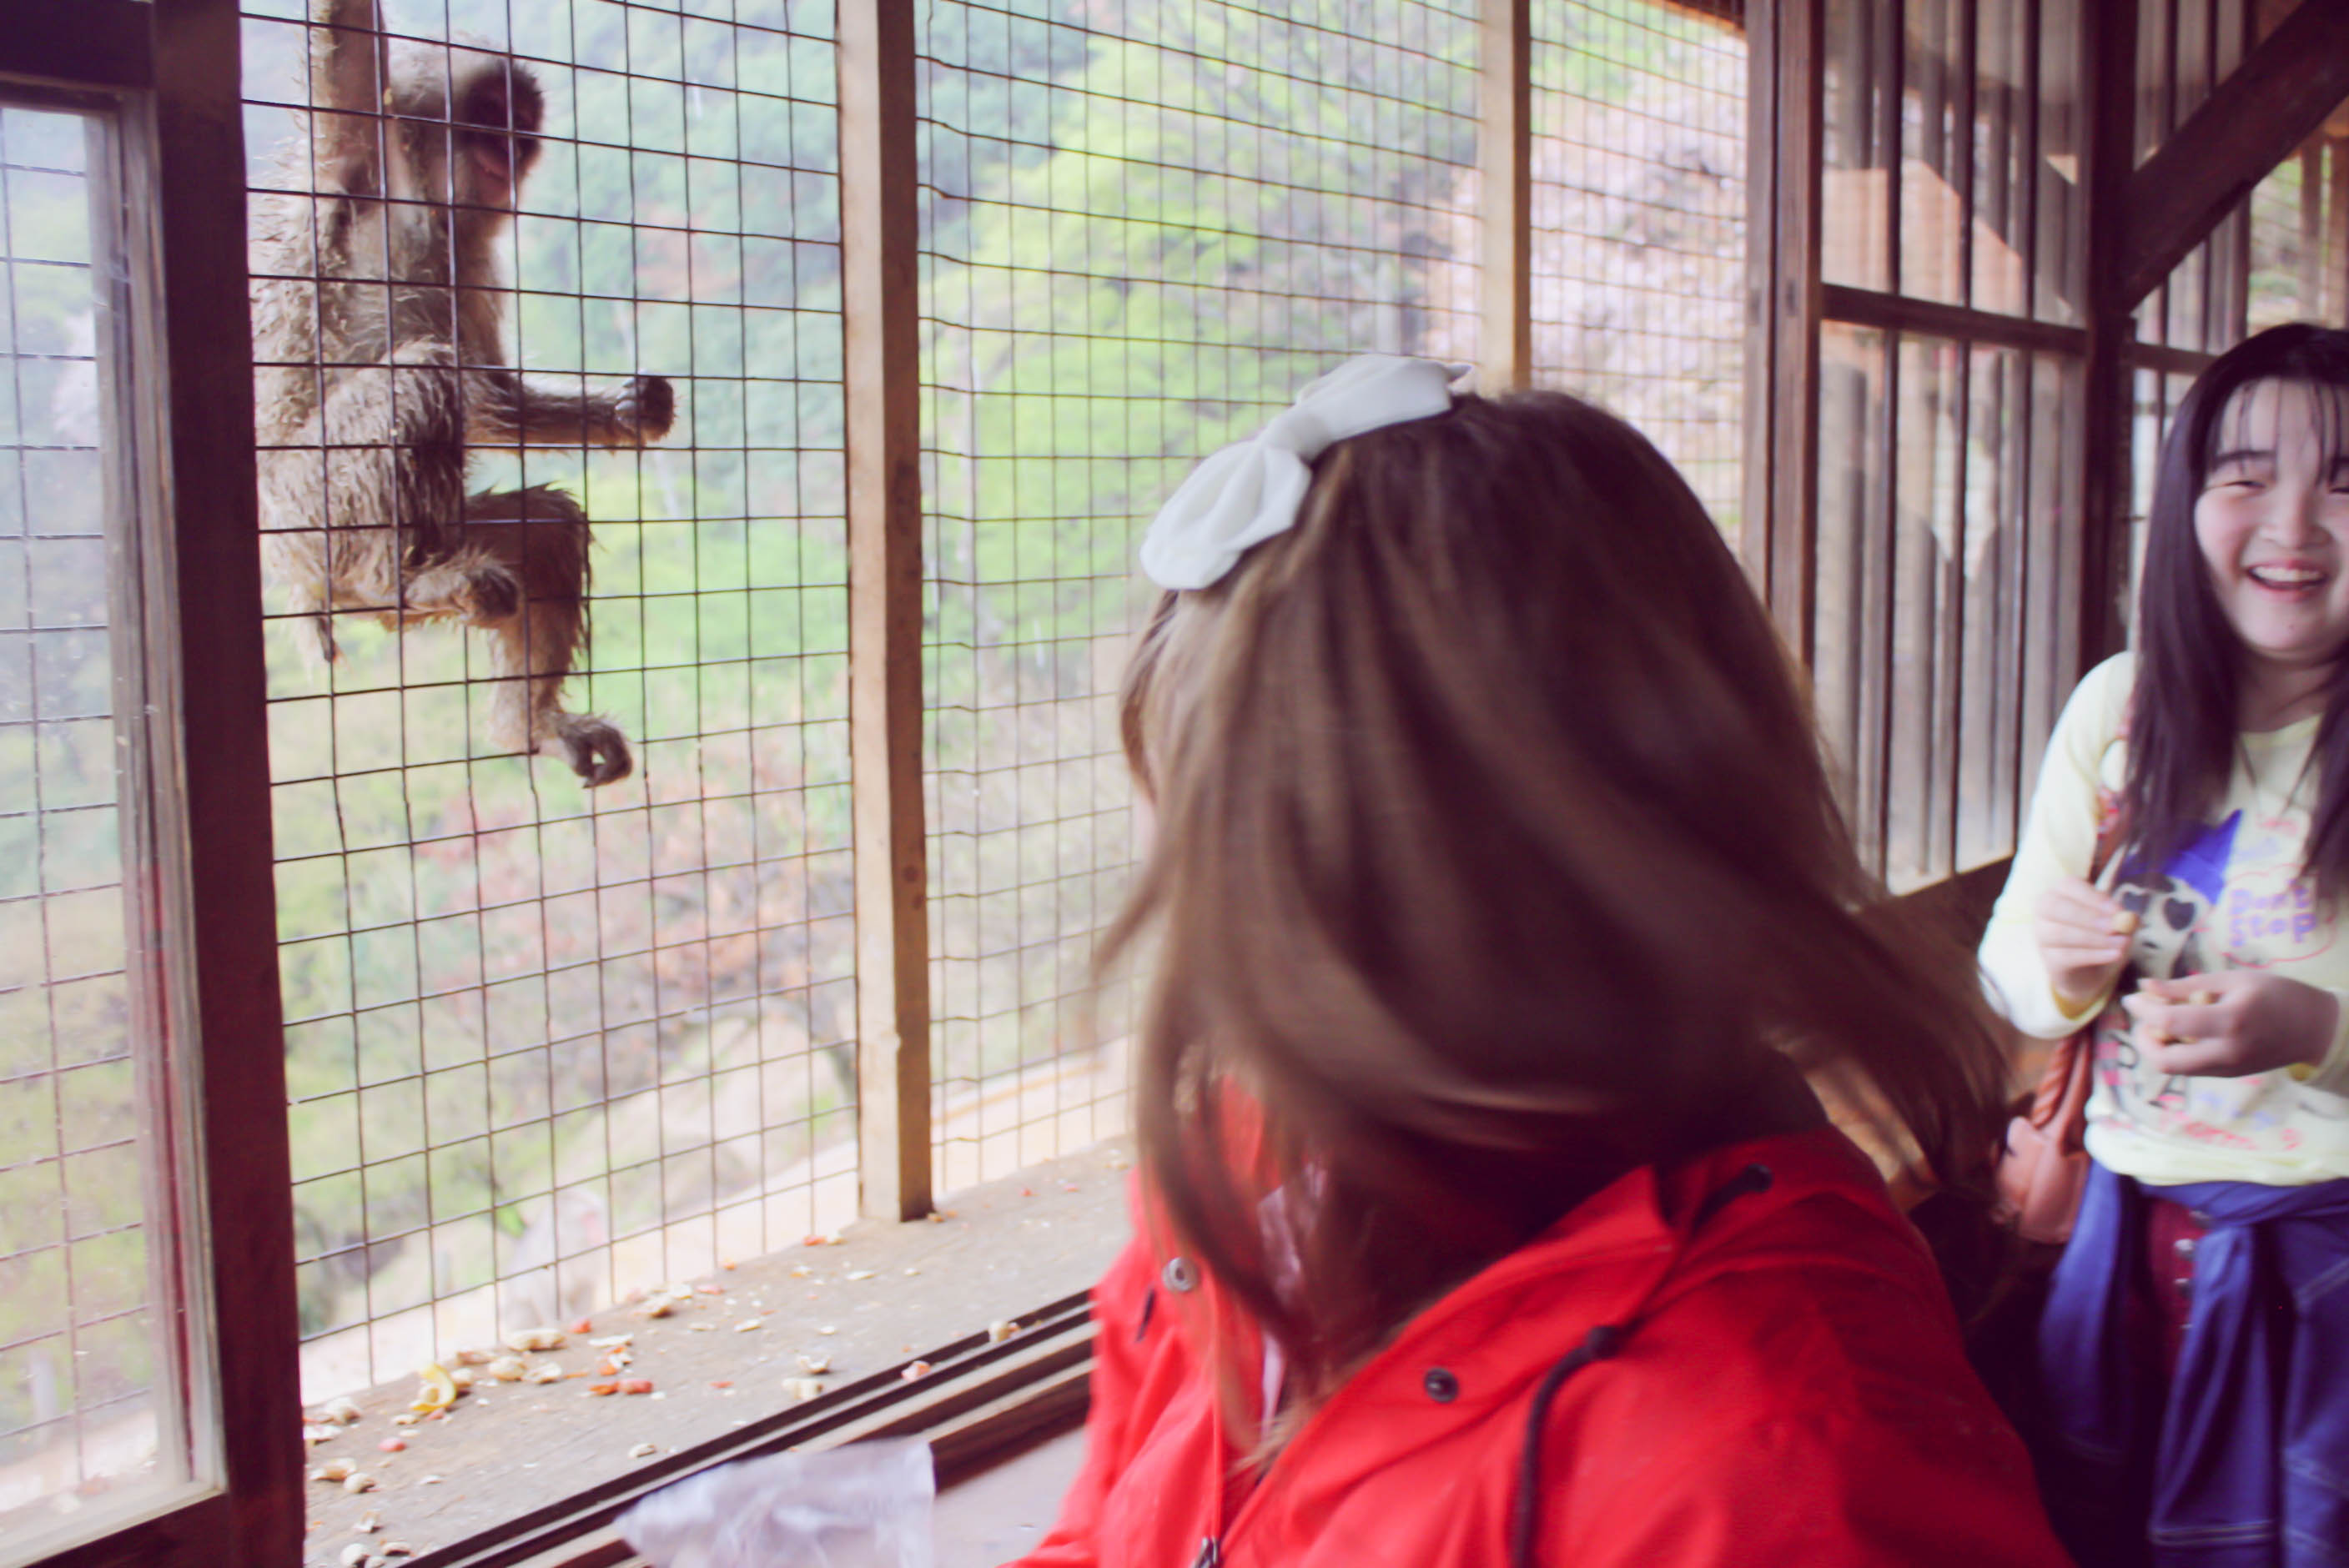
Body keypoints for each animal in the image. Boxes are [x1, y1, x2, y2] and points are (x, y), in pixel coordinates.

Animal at [254, 0, 677, 784]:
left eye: (521, 128)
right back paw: (390, 585)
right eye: (488, 119)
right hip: (306, 511)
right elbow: (344, 48)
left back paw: (527, 724)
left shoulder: (470, 247)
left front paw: (625, 414)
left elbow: (490, 404)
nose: (509, 153)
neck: (425, 200)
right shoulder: (363, 152)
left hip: (420, 530)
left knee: (543, 528)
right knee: (422, 373)